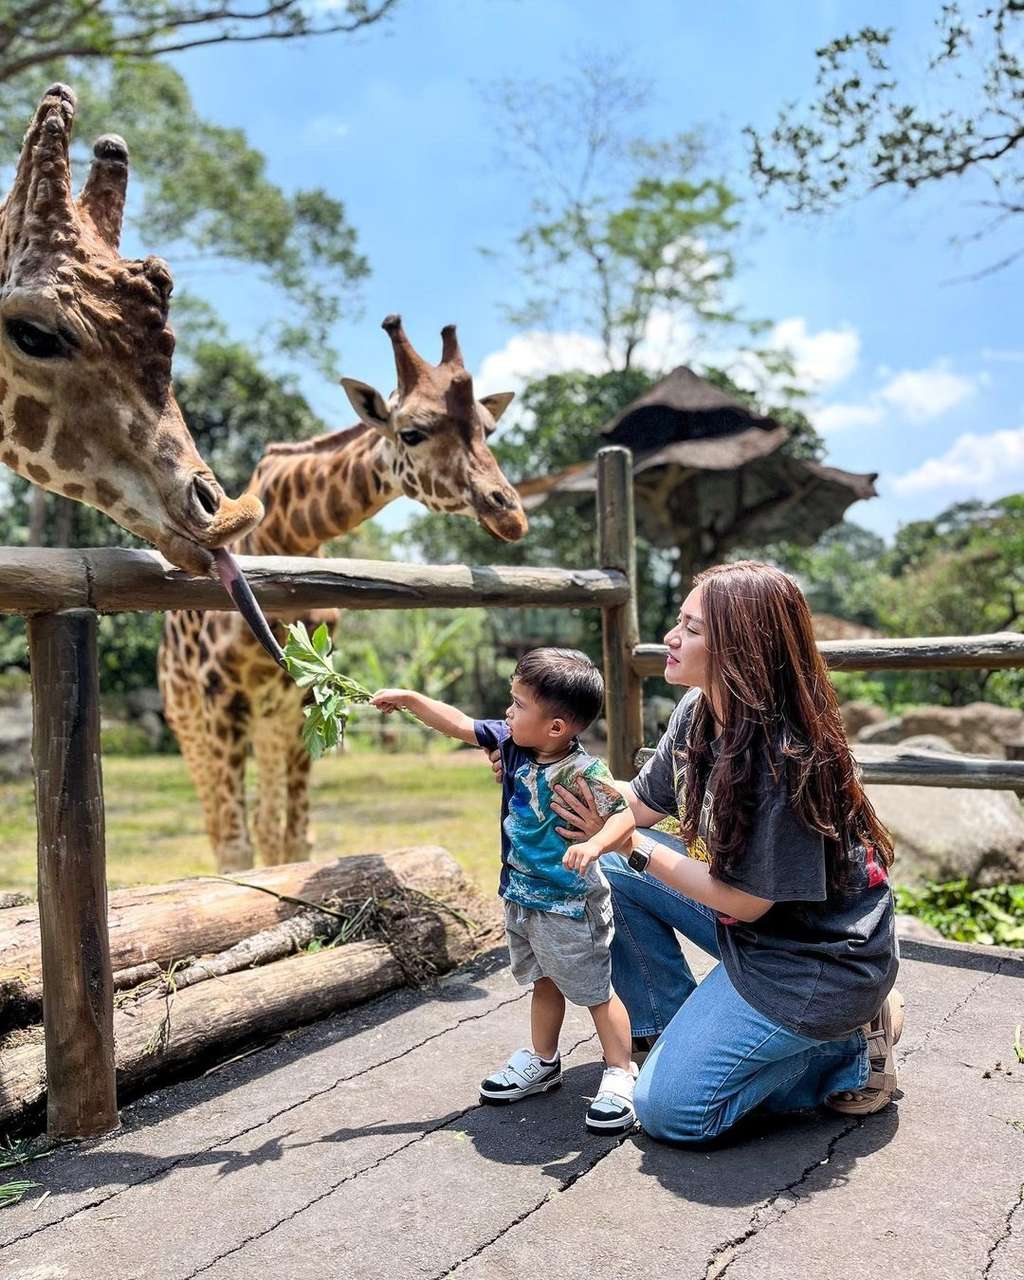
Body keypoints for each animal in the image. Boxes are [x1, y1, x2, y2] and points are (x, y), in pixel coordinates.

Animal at [161, 313, 527, 870]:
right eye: (412, 433)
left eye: (488, 429)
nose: (510, 513)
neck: (288, 538)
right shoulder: (221, 703)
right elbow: (235, 846)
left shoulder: (300, 702)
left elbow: (293, 838)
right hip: (188, 723)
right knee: (218, 829)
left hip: (268, 726)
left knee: (267, 826)